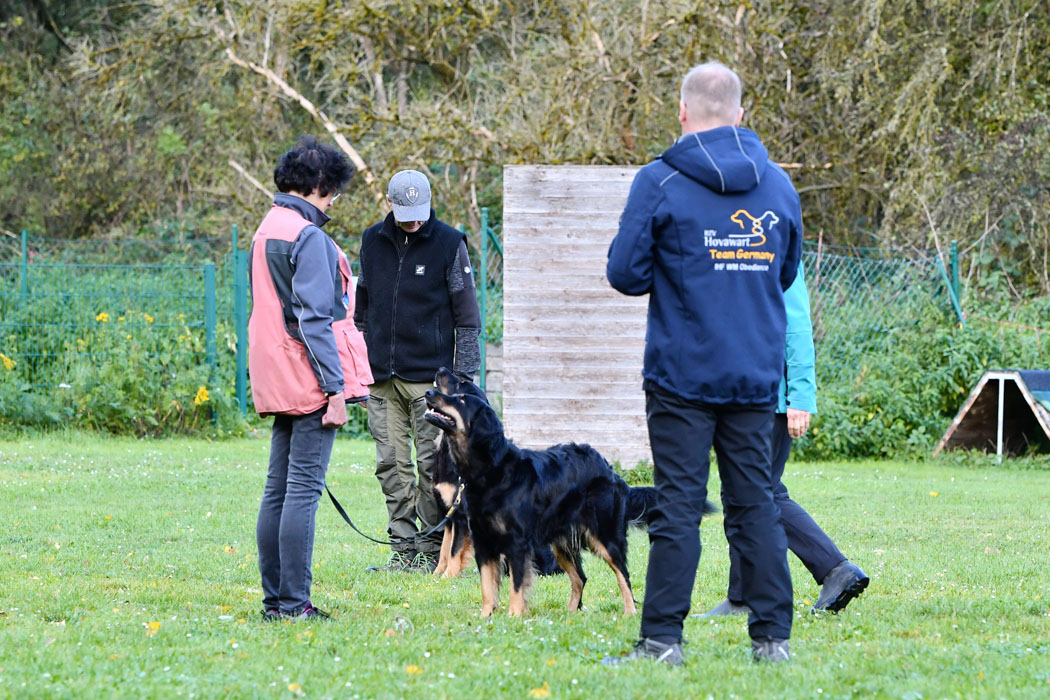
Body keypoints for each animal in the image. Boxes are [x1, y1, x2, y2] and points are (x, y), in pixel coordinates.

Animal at [422, 386, 659, 617]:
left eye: (461, 399)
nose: (428, 392)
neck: (491, 471)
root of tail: (611, 471)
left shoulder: (517, 543)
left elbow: (517, 586)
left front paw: (514, 617)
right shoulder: (483, 542)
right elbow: (487, 587)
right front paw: (486, 617)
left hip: (605, 536)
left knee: (623, 576)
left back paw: (629, 612)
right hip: (560, 544)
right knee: (580, 578)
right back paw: (570, 614)